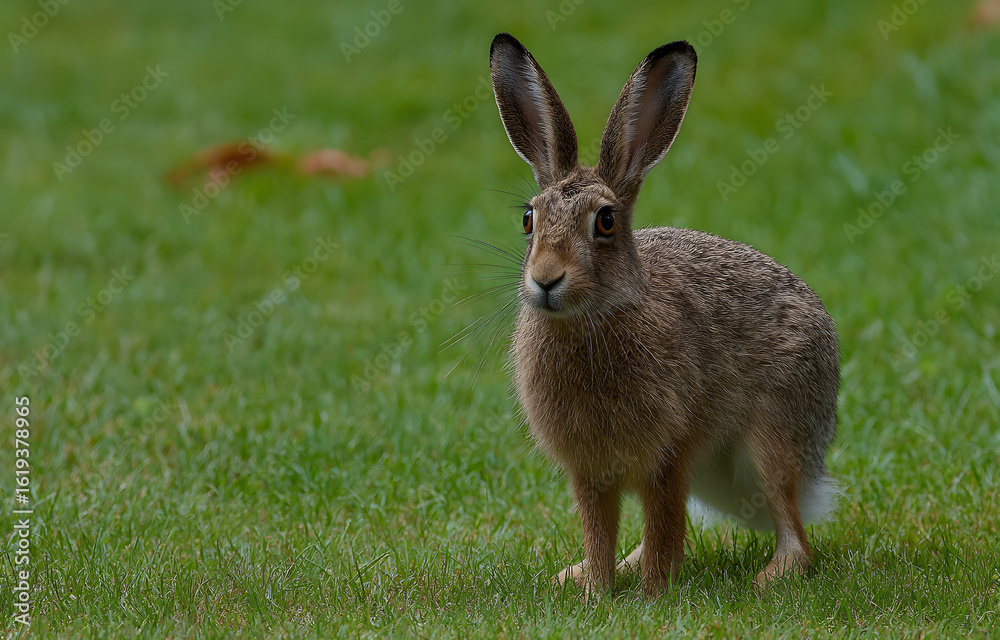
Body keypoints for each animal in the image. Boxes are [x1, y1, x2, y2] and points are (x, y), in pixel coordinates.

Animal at [488, 32, 840, 596]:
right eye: (528, 218)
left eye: (606, 221)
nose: (545, 279)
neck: (594, 319)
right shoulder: (590, 473)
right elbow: (600, 533)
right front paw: (596, 590)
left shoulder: (668, 457)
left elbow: (662, 527)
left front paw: (652, 594)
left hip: (774, 436)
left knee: (792, 528)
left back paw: (769, 578)